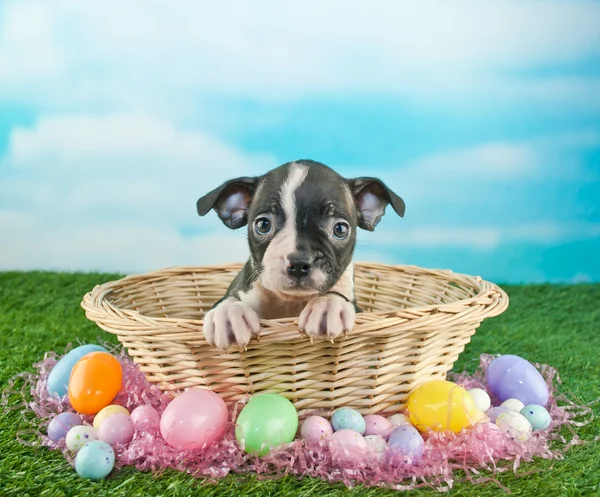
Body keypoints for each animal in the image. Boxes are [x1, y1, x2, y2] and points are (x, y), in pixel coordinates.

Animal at [197, 160, 404, 348]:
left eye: (340, 229)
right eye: (263, 225)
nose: (299, 262)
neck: (290, 302)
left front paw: (327, 305)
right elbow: (229, 300)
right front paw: (228, 313)